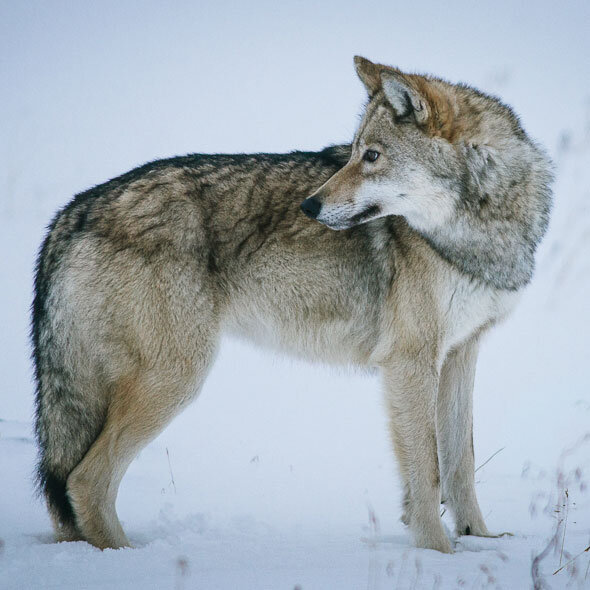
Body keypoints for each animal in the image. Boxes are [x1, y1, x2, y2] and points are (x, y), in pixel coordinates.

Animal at [31, 57, 552, 552]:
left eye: (372, 156)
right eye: (354, 152)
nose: (309, 207)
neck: (479, 232)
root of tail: (71, 211)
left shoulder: (461, 352)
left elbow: (460, 463)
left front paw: (480, 541)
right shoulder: (409, 361)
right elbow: (427, 472)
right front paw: (436, 553)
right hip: (177, 376)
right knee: (85, 480)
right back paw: (125, 557)